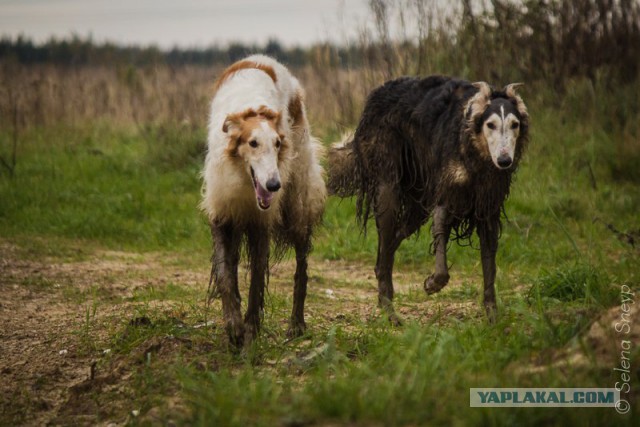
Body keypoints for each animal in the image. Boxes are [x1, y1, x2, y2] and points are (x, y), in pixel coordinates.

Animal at [202, 55, 328, 348]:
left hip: (298, 204)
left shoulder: (261, 222)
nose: (273, 185)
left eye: (278, 144)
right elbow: (226, 276)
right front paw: (234, 326)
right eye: (253, 143)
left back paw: (297, 324)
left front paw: (250, 332)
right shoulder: (223, 212)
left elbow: (257, 279)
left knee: (302, 267)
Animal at [330, 77, 528, 324]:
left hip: (418, 206)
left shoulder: (487, 209)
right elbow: (442, 255)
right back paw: (390, 312)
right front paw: (432, 283)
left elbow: (489, 265)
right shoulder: (445, 198)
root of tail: (377, 94)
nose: (504, 161)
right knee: (386, 246)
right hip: (388, 190)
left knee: (388, 247)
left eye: (515, 125)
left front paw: (492, 317)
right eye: (490, 125)